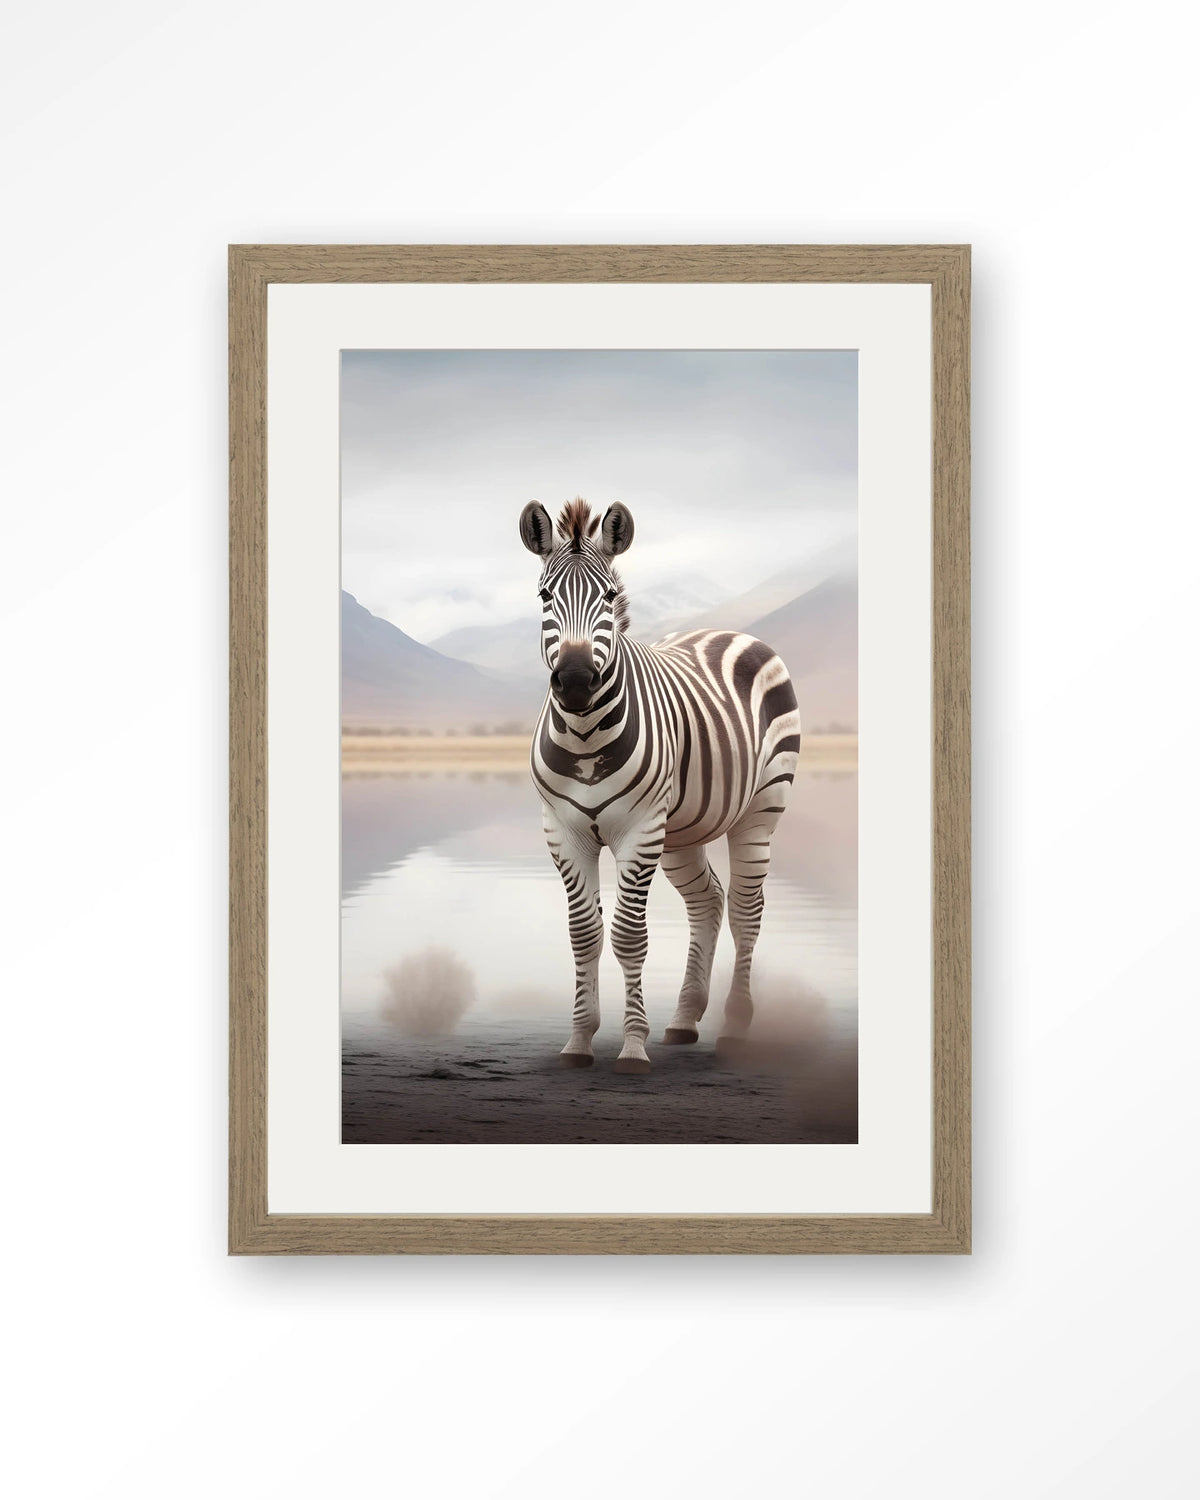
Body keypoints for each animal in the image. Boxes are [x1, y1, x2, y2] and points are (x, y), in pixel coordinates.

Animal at [519, 497, 801, 1074]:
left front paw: (632, 1047)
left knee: (746, 910)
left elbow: (629, 936)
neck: (584, 735)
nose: (575, 681)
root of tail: (730, 631)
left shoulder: (639, 830)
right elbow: (584, 935)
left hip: (760, 810)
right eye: (544, 596)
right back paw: (685, 1019)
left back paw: (734, 1028)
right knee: (708, 901)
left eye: (609, 596)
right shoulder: (563, 831)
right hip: (681, 832)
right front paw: (579, 1041)